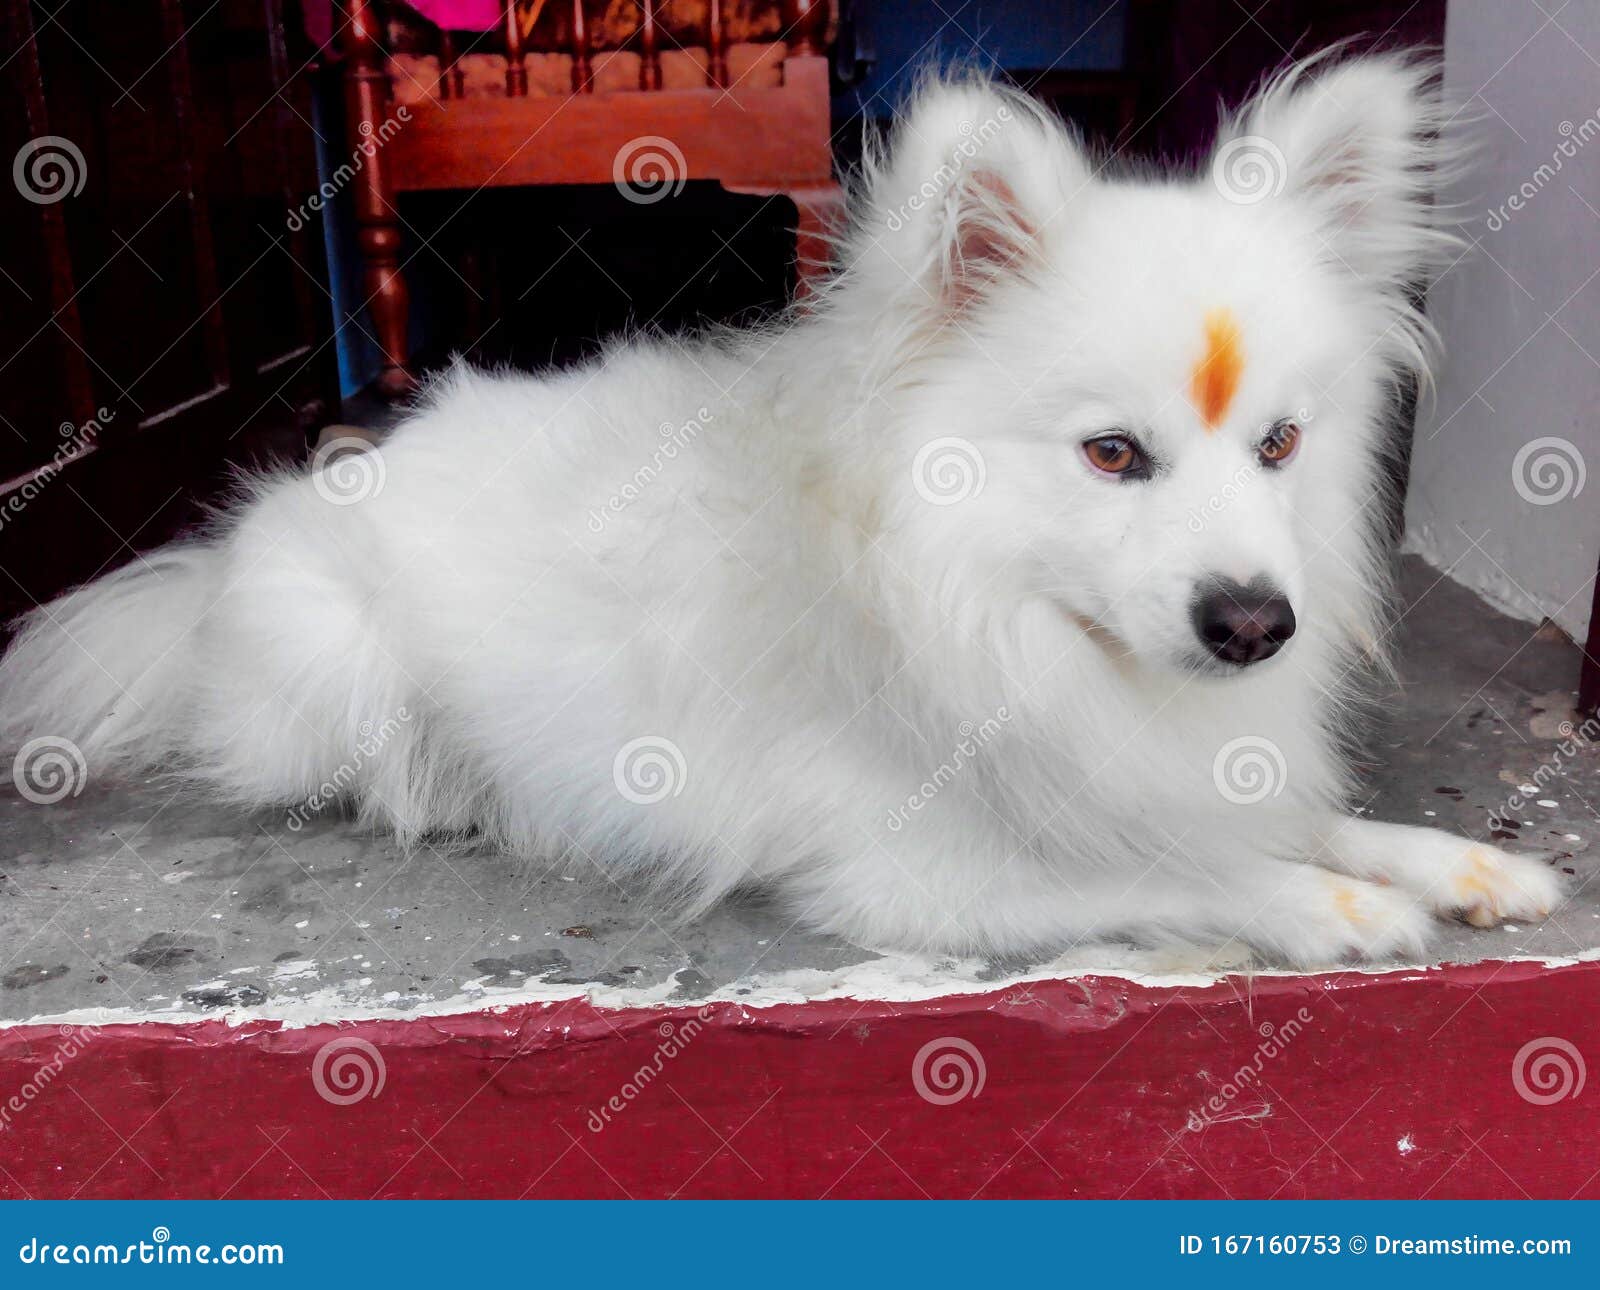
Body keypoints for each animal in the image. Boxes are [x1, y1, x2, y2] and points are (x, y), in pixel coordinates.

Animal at [0, 53, 1561, 960]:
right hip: (341, 668)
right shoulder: (916, 873)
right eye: (1113, 456)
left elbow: (1284, 817)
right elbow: (1198, 869)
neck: (989, 614)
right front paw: (1338, 909)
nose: (1252, 624)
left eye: (1281, 444)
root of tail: (219, 559)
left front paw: (1453, 864)